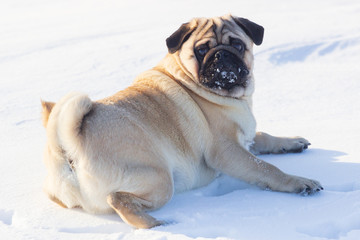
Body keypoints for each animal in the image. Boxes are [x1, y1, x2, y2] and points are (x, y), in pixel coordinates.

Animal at [40, 14, 322, 229]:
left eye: (238, 45)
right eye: (201, 50)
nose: (221, 55)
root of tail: (66, 147)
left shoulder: (244, 137)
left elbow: (262, 136)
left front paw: (291, 142)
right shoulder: (227, 151)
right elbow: (266, 169)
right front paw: (298, 182)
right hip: (160, 180)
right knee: (118, 199)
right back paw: (156, 225)